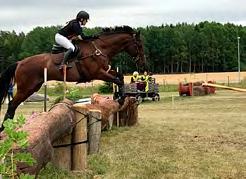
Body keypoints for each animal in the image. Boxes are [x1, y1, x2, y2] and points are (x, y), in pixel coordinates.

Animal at [0, 25, 145, 131]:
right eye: (139, 45)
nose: (143, 63)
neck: (100, 49)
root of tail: (19, 63)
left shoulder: (106, 70)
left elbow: (120, 77)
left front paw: (120, 96)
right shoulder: (98, 73)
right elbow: (117, 80)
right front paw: (120, 99)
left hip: (33, 87)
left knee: (14, 104)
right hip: (26, 88)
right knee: (12, 104)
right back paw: (4, 127)